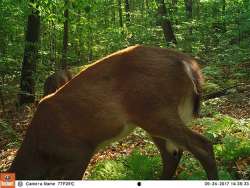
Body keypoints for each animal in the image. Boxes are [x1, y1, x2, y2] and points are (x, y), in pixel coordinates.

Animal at [8, 45, 218, 179]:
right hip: (153, 117)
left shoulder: (78, 152)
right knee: (172, 155)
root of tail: (187, 63)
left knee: (203, 146)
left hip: (156, 111)